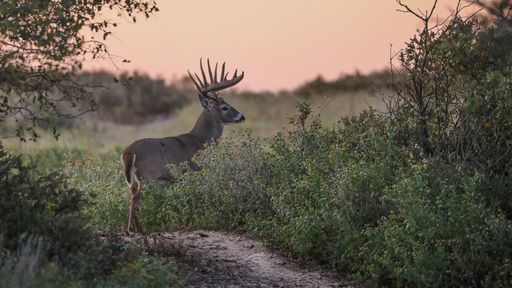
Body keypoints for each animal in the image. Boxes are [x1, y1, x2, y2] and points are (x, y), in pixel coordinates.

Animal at [122, 58, 246, 232]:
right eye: (224, 107)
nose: (242, 116)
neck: (199, 140)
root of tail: (129, 152)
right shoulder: (195, 171)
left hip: (133, 178)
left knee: (133, 195)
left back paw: (139, 228)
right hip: (148, 176)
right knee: (135, 198)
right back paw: (130, 229)